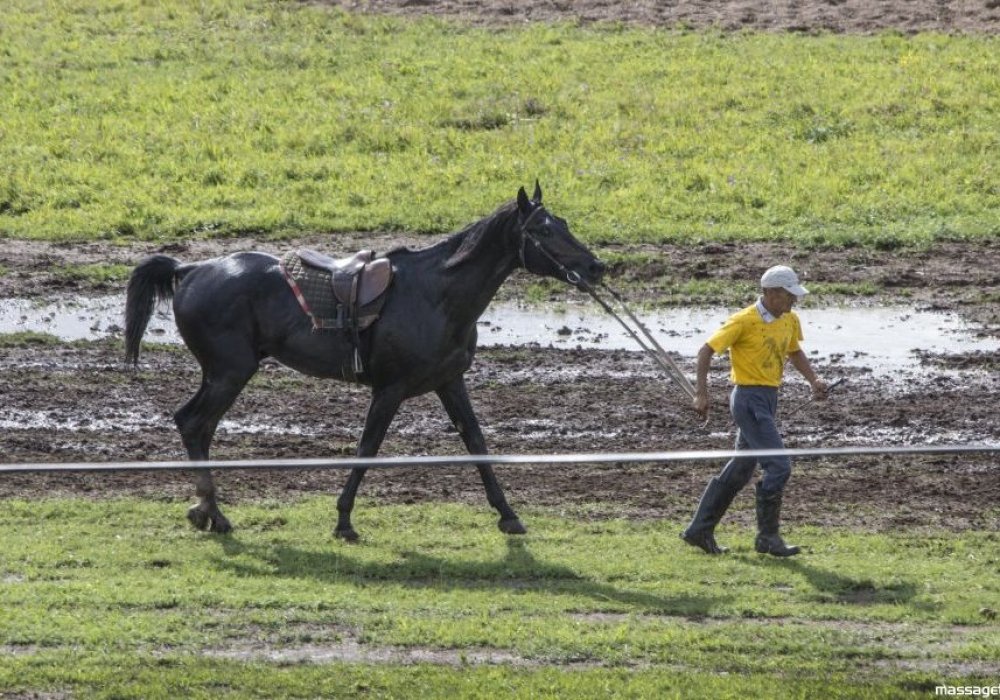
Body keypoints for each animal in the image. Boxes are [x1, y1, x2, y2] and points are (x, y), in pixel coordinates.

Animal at [127, 183, 608, 540]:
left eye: (563, 223)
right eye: (543, 230)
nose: (596, 267)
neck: (435, 294)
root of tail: (192, 269)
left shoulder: (450, 382)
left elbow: (476, 442)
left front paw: (508, 515)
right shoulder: (389, 390)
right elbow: (367, 449)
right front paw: (343, 521)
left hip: (223, 374)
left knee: (198, 426)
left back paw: (206, 511)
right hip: (230, 372)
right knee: (193, 423)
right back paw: (213, 513)